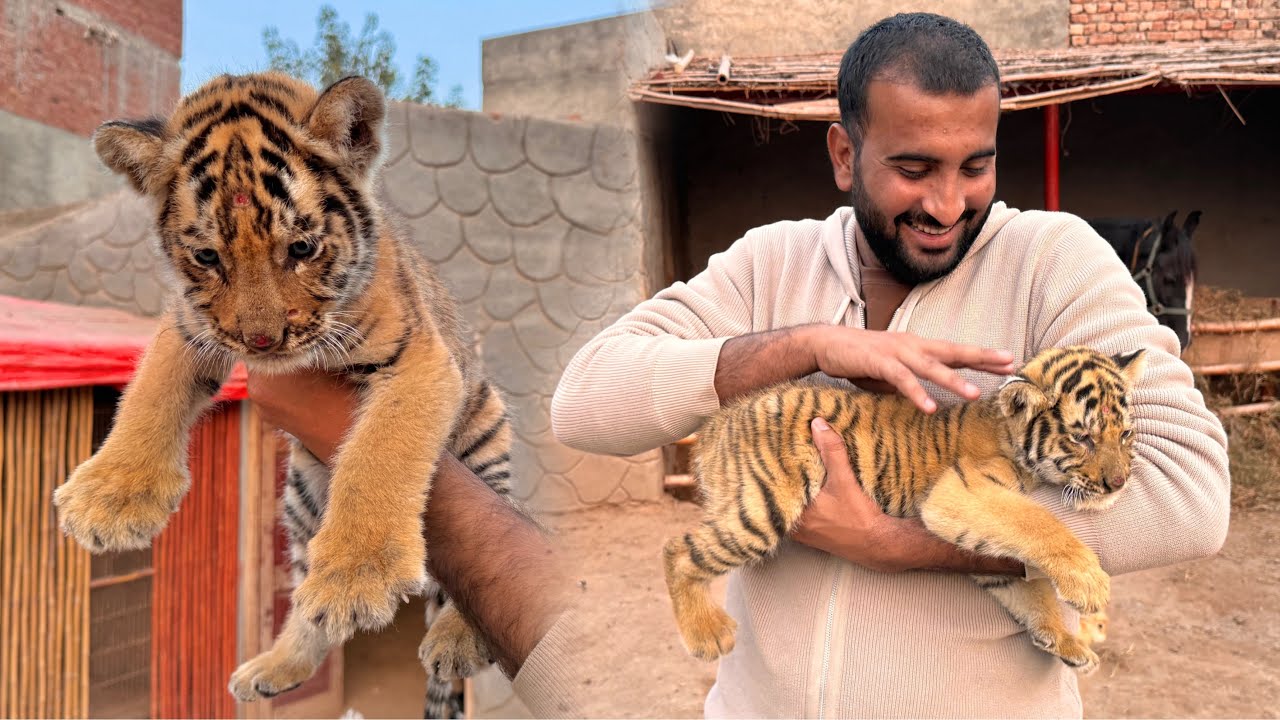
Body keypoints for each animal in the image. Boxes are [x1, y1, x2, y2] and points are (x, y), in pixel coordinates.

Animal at [50, 71, 517, 717]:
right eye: (207, 256)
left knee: (468, 574)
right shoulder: (192, 327)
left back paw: (457, 641)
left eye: (301, 249)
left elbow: (381, 451)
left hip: (485, 441)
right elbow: (151, 387)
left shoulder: (419, 358)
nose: (262, 339)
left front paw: (357, 573)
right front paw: (111, 496)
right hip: (297, 497)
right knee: (307, 612)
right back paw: (273, 667)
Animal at [663, 345, 1146, 675]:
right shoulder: (961, 491)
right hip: (761, 508)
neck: (1015, 444)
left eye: (1124, 434)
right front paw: (1088, 584)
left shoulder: (987, 556)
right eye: (1082, 438)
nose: (1118, 483)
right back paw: (707, 634)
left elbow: (1031, 589)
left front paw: (1064, 640)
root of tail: (715, 424)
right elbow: (1038, 522)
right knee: (677, 549)